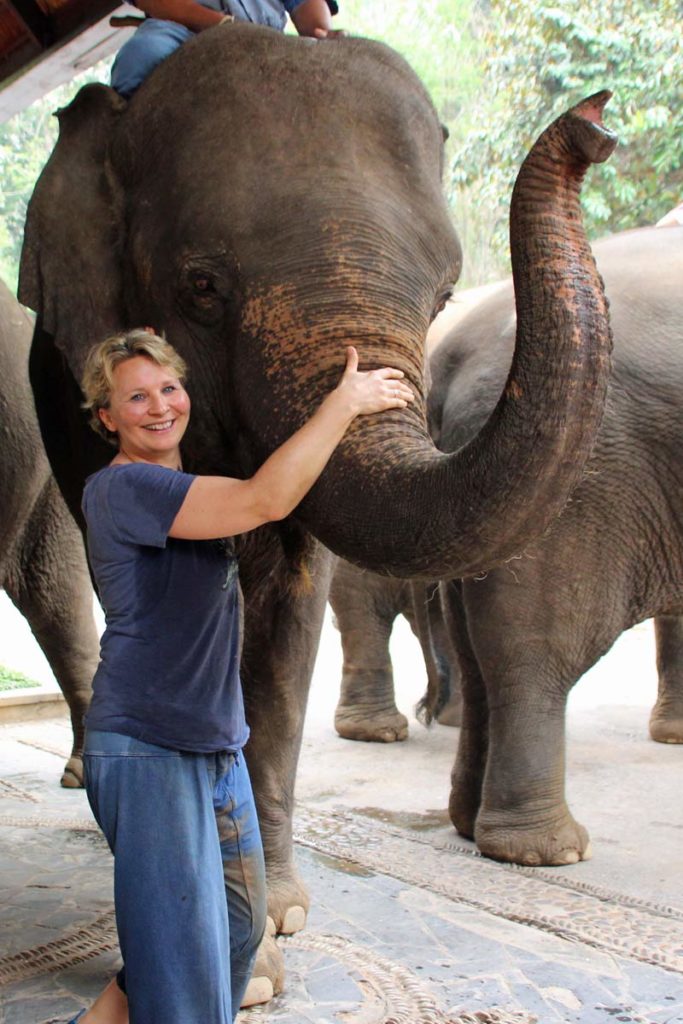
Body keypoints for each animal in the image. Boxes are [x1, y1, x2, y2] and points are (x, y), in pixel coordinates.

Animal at [17, 21, 617, 991]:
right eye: (201, 287)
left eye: (445, 293)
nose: (595, 124)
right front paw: (245, 953)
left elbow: (292, 604)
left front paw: (279, 913)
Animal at [422, 224, 683, 867]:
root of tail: (448, 359)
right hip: (582, 492)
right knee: (537, 649)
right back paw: (547, 851)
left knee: (471, 647)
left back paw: (469, 826)